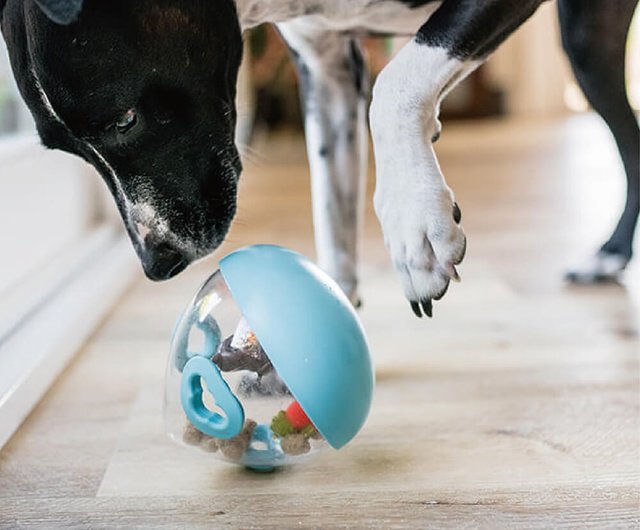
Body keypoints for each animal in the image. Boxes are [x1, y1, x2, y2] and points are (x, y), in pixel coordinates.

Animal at [1, 0, 640, 316]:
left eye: (123, 120)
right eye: (67, 150)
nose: (157, 265)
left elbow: (397, 82)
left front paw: (413, 228)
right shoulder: (323, 64)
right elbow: (330, 204)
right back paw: (609, 257)